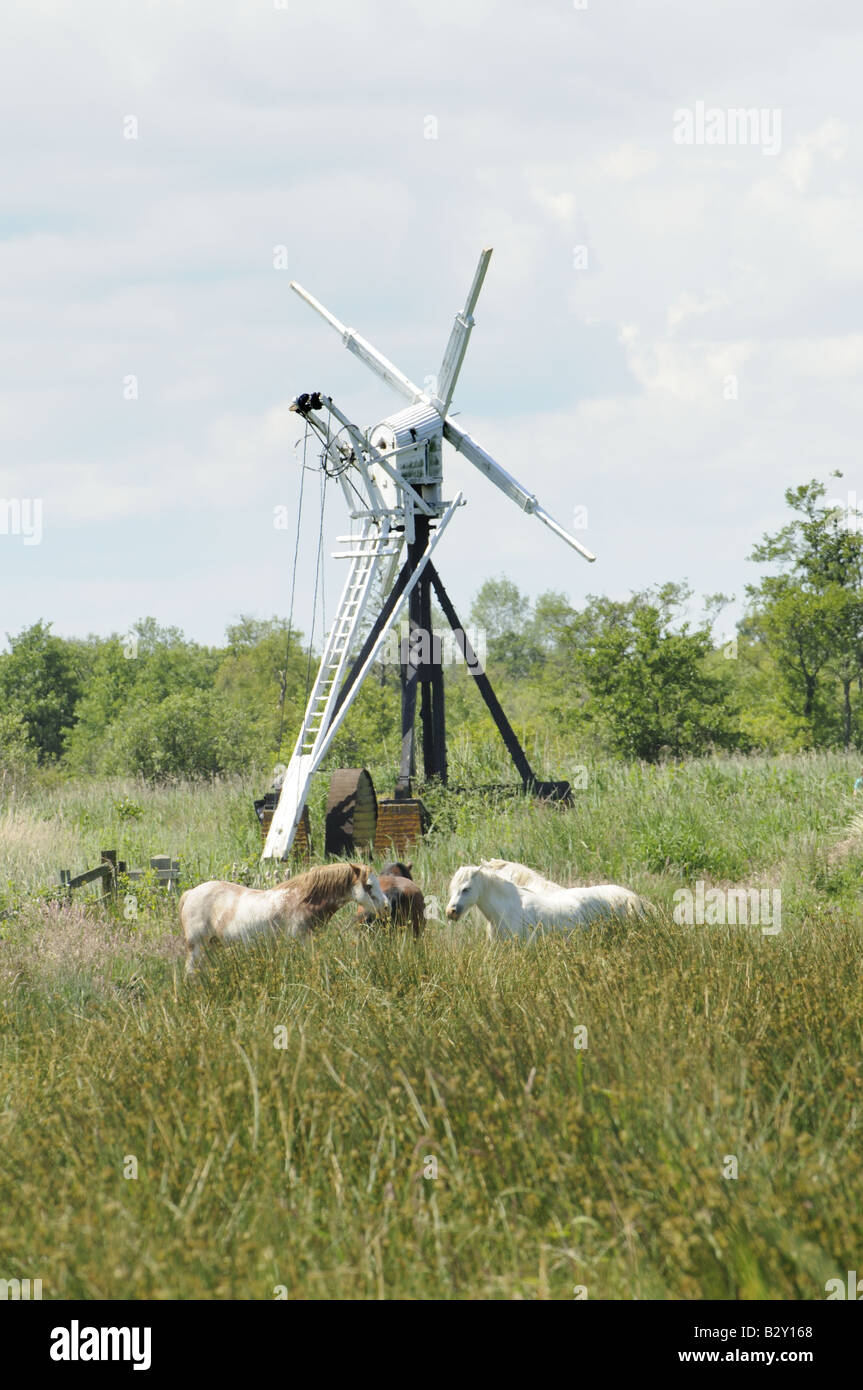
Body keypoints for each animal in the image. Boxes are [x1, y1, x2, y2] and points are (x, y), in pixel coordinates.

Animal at [180, 862, 387, 976]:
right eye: (369, 885)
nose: (386, 906)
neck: (303, 900)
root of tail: (190, 893)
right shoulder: (301, 942)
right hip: (197, 947)